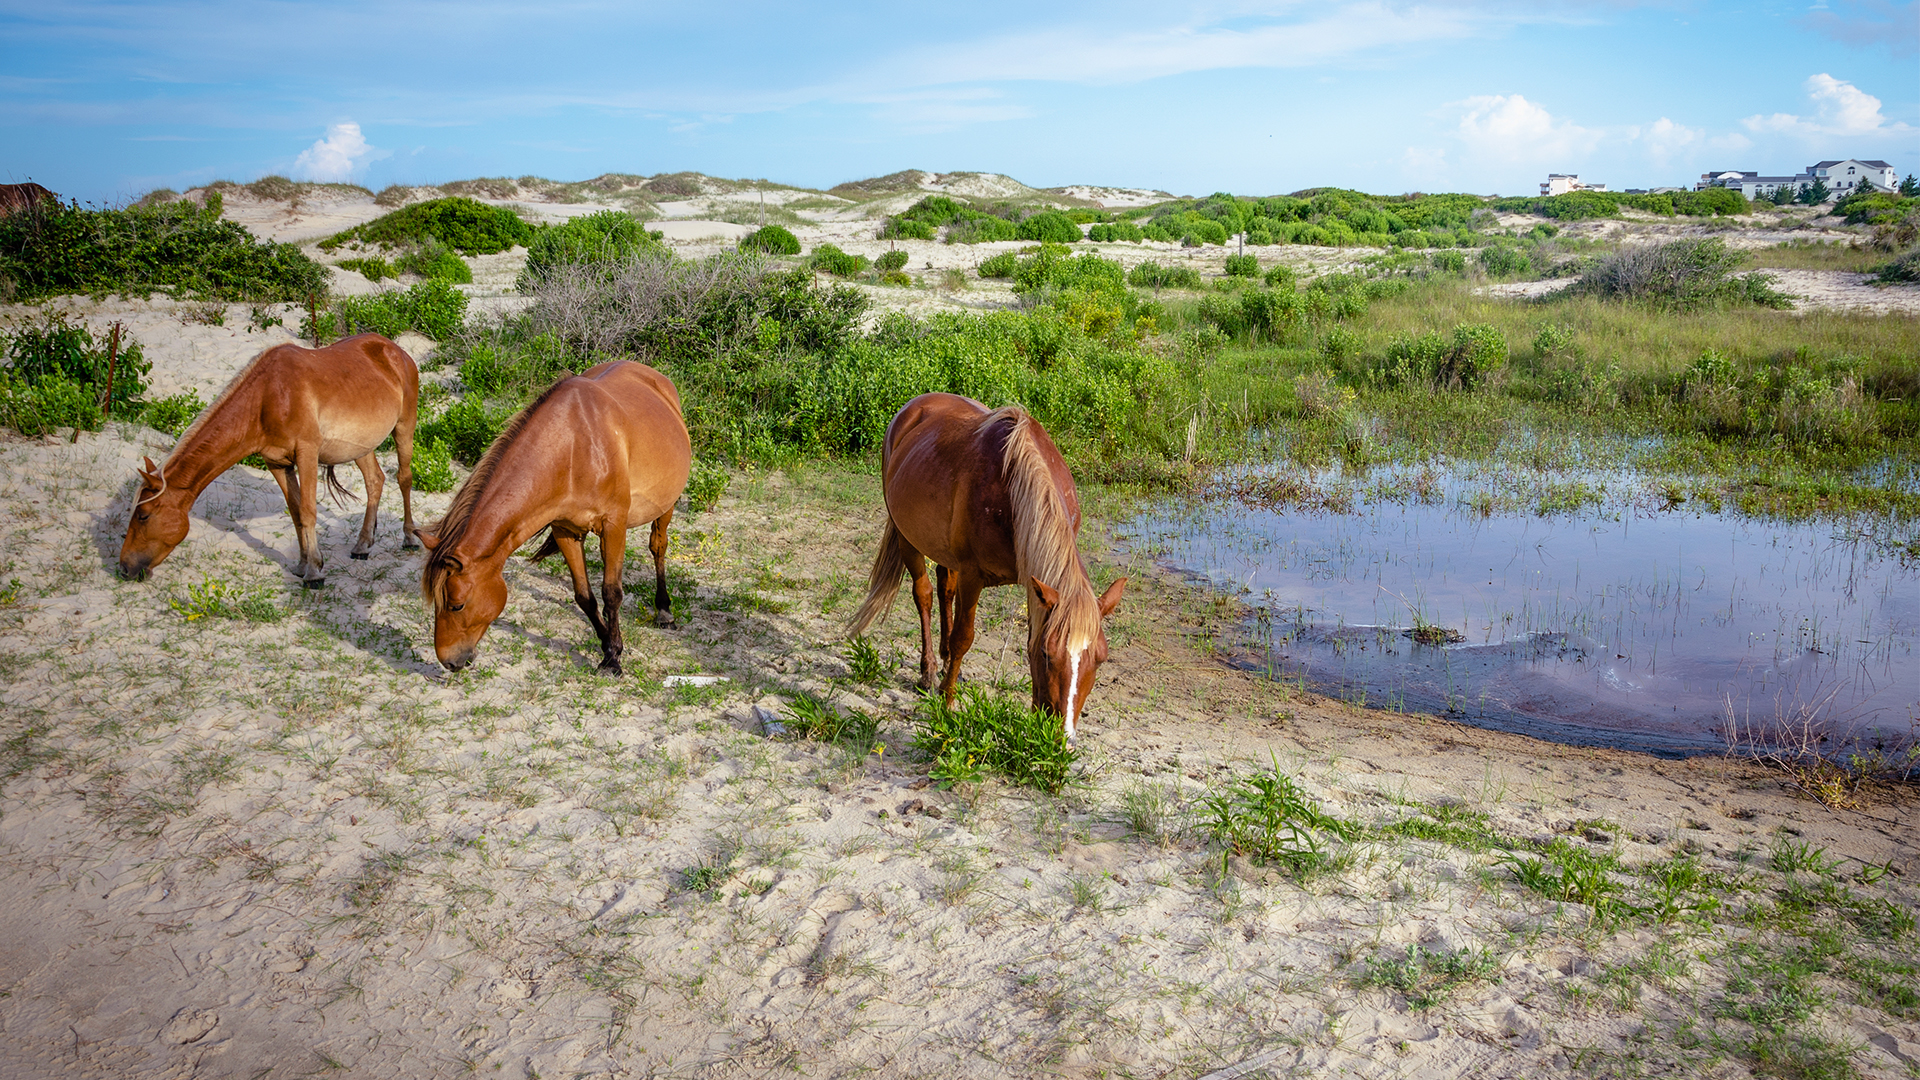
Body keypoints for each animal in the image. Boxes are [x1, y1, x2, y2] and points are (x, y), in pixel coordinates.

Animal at [118, 334, 418, 588]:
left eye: (143, 515)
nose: (124, 567)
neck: (268, 397)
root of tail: (395, 350)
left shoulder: (307, 454)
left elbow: (308, 512)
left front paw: (314, 572)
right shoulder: (278, 463)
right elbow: (296, 512)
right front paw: (302, 565)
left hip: (404, 427)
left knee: (404, 479)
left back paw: (409, 538)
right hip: (361, 446)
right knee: (375, 481)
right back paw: (363, 545)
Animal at [416, 357, 695, 668]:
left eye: (457, 605)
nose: (449, 661)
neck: (573, 451)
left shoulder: (613, 525)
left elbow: (611, 593)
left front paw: (613, 657)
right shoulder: (565, 531)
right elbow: (584, 596)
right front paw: (607, 645)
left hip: (666, 506)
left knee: (658, 548)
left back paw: (664, 610)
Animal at [844, 390, 1121, 734]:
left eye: (1101, 658)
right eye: (1047, 654)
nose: (1059, 737)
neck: (1013, 495)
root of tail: (913, 407)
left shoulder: (1035, 588)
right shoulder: (973, 575)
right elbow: (964, 637)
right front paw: (947, 703)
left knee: (944, 589)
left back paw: (947, 663)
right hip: (907, 538)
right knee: (924, 595)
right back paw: (929, 671)